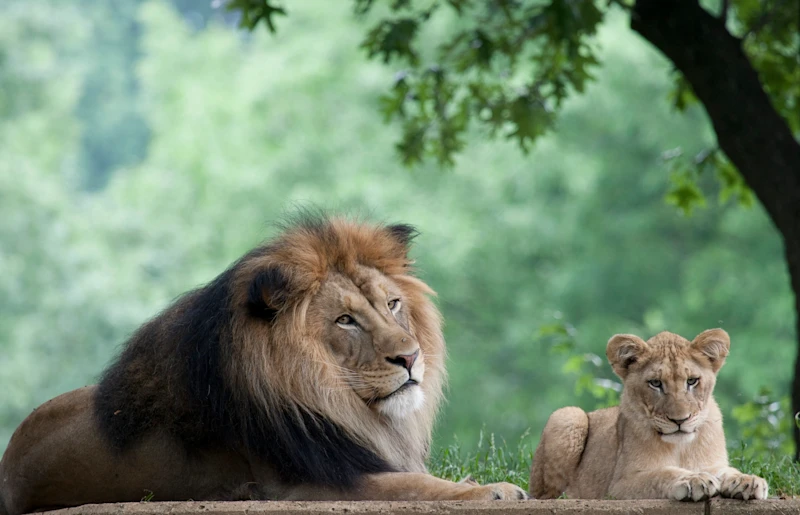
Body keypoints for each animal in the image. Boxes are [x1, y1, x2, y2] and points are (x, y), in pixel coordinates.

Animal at [0, 215, 527, 515]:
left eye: (393, 304)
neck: (332, 398)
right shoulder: (303, 485)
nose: (411, 356)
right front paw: (495, 490)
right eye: (345, 320)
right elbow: (415, 486)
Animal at [529, 329, 768, 502]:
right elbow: (661, 474)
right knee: (547, 495)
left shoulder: (714, 463)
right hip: (568, 415)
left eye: (692, 381)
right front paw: (693, 479)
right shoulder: (619, 486)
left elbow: (727, 471)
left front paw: (747, 481)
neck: (681, 447)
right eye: (655, 383)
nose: (680, 420)